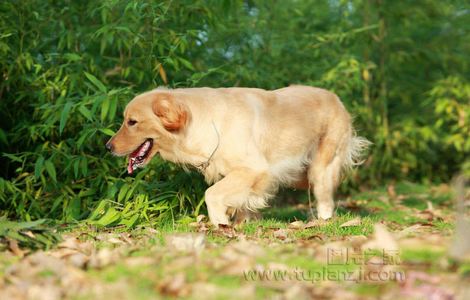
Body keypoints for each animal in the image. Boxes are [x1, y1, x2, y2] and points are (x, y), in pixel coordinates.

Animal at [106, 85, 370, 226]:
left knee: (326, 200)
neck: (205, 122)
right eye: (125, 120)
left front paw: (220, 223)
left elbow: (212, 194)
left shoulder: (254, 169)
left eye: (132, 122)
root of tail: (336, 98)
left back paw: (322, 221)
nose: (108, 146)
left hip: (321, 168)